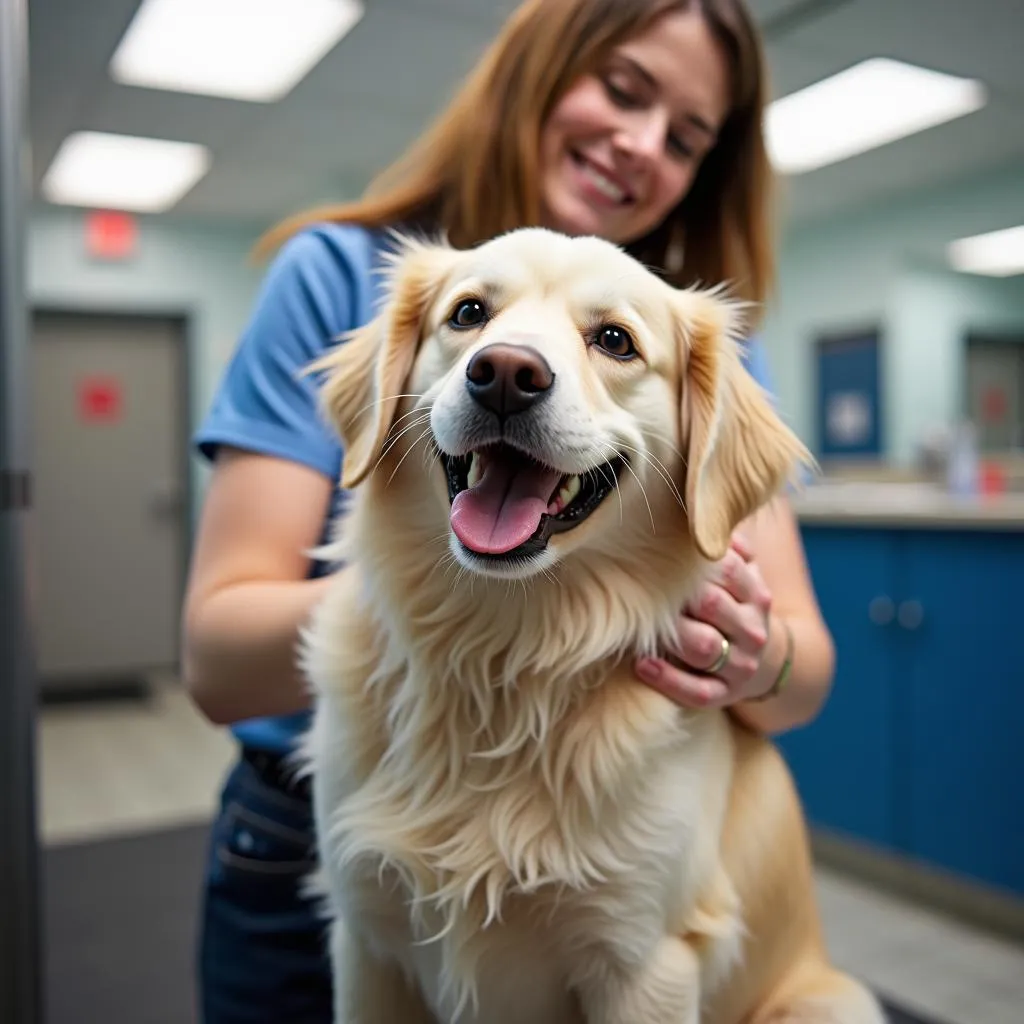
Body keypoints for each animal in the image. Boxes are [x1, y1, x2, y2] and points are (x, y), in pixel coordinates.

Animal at [296, 226, 880, 1024]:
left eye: (614, 340)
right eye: (468, 313)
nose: (505, 374)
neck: (503, 649)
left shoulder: (644, 962)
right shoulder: (367, 939)